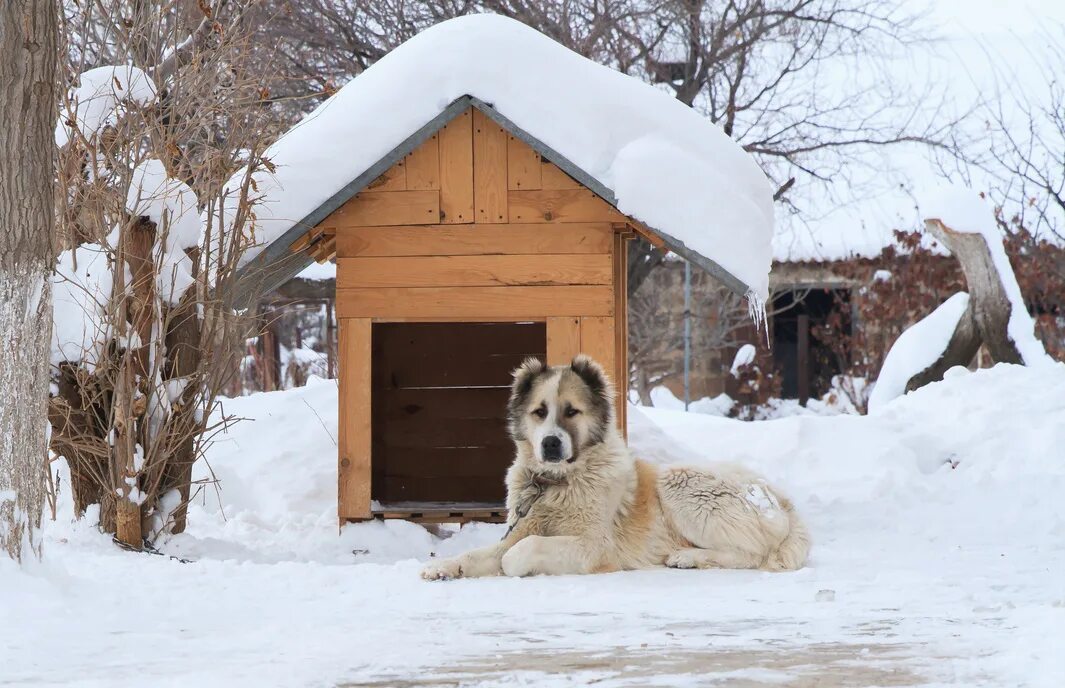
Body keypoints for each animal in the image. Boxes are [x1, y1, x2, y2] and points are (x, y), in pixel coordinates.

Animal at [419, 355, 809, 583]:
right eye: (539, 412)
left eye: (571, 411)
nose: (550, 444)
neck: (556, 484)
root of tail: (781, 498)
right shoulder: (519, 528)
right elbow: (480, 553)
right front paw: (444, 566)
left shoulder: (594, 546)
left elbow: (518, 553)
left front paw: (512, 567)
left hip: (680, 483)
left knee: (750, 554)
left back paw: (687, 557)